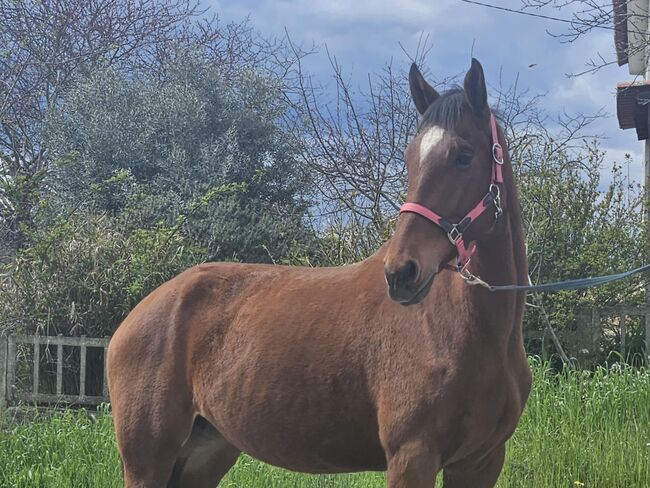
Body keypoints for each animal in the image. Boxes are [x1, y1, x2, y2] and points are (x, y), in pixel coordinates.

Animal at [107, 59, 532, 486]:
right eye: (410, 158)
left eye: (464, 155)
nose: (401, 272)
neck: (470, 329)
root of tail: (135, 317)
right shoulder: (412, 456)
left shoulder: (480, 461)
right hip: (148, 461)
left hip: (206, 453)